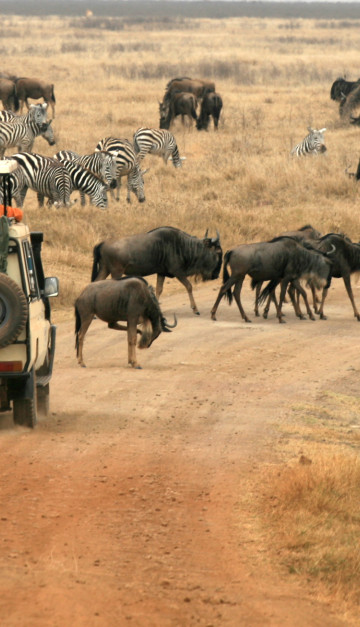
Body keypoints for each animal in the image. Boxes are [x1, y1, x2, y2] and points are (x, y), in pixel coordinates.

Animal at [91, 226, 222, 314]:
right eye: (218, 252)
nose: (216, 275)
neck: (183, 245)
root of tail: (102, 244)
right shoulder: (178, 272)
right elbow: (189, 286)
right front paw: (195, 309)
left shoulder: (161, 273)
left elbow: (159, 289)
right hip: (116, 272)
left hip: (105, 269)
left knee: (95, 283)